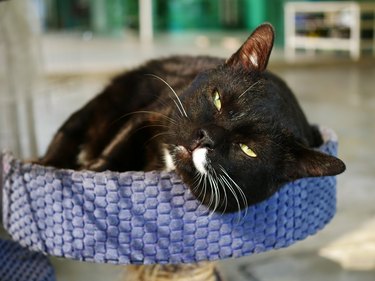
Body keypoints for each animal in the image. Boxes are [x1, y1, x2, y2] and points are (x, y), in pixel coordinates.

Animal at [40, 24, 346, 212]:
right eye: (218, 99)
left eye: (248, 149)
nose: (205, 137)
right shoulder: (154, 113)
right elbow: (116, 146)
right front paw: (92, 169)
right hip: (101, 106)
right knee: (69, 133)